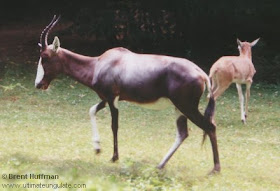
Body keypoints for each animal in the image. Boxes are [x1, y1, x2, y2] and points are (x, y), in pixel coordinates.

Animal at [34, 14, 221, 173]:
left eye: (45, 57)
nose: (38, 84)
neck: (100, 63)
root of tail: (201, 73)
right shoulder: (106, 98)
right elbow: (91, 110)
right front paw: (97, 148)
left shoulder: (112, 99)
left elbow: (114, 125)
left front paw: (114, 157)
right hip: (179, 108)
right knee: (183, 133)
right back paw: (160, 165)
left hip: (187, 107)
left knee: (210, 127)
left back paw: (215, 169)